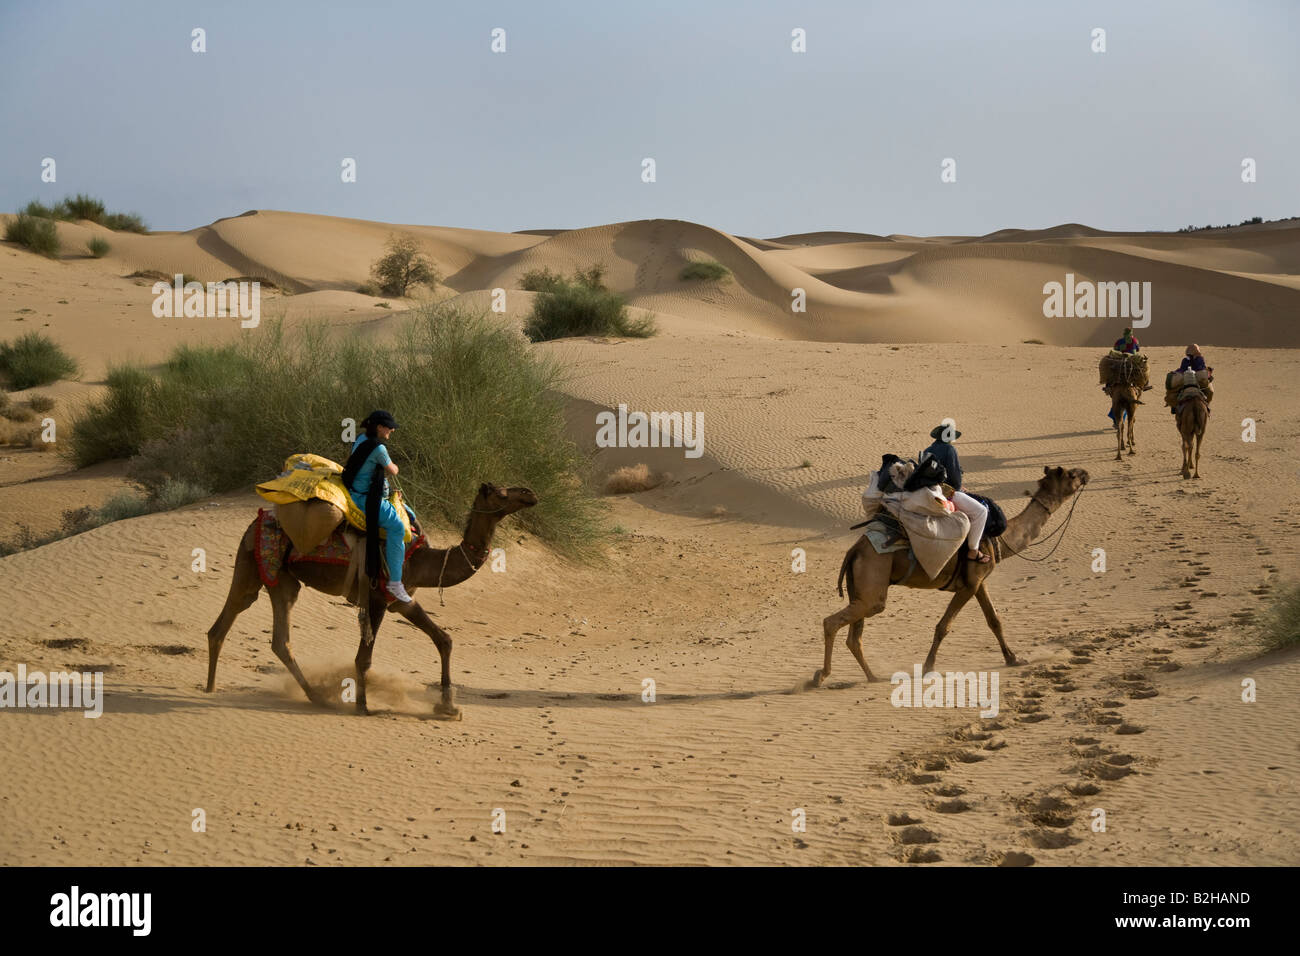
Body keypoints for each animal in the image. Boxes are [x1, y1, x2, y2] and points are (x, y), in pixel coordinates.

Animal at [204, 486, 538, 717]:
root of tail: (255, 522)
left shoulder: (401, 600)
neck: (421, 559)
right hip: (254, 565)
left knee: (263, 637)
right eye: (501, 492)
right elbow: (363, 658)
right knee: (239, 617)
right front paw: (363, 707)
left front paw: (448, 707)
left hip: (282, 580)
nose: (530, 494)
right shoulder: (378, 597)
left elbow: (444, 639)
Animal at [821, 465, 1086, 686]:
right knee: (834, 622)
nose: (1085, 474)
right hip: (873, 577)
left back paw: (872, 676)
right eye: (1071, 475)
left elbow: (994, 620)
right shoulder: (969, 585)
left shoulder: (978, 582)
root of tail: (855, 549)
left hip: (860, 586)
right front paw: (928, 668)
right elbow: (943, 626)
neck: (999, 539)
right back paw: (821, 676)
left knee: (854, 636)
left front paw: (1013, 659)